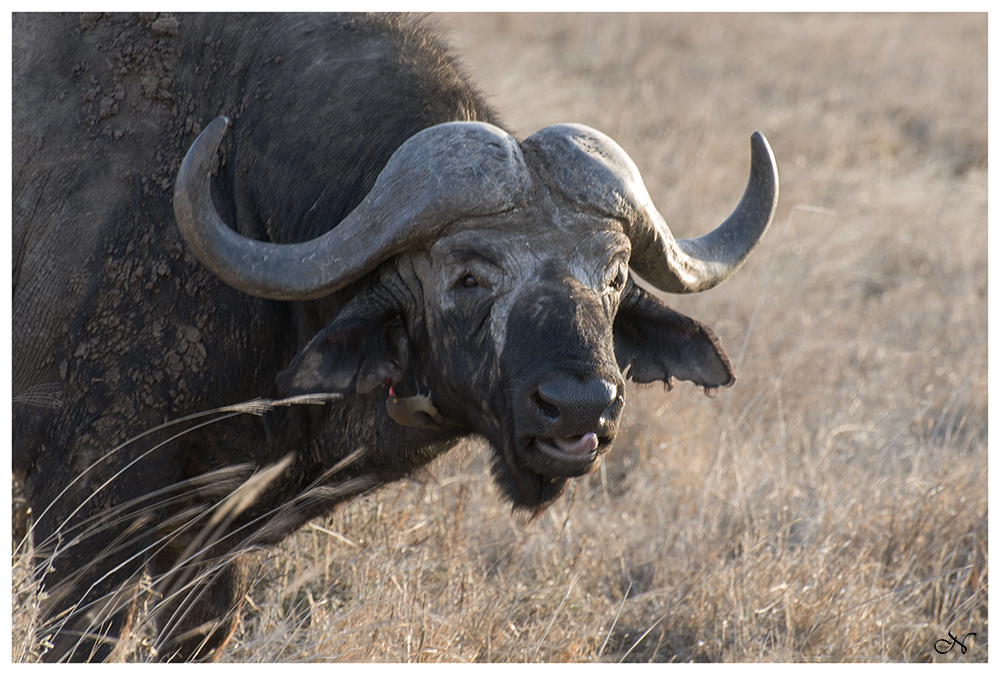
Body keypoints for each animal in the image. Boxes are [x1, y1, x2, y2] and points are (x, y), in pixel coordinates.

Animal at [9, 13, 780, 664]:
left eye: (615, 275)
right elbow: (84, 633)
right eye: (468, 275)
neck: (243, 194)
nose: (580, 405)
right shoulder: (90, 500)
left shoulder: (215, 530)